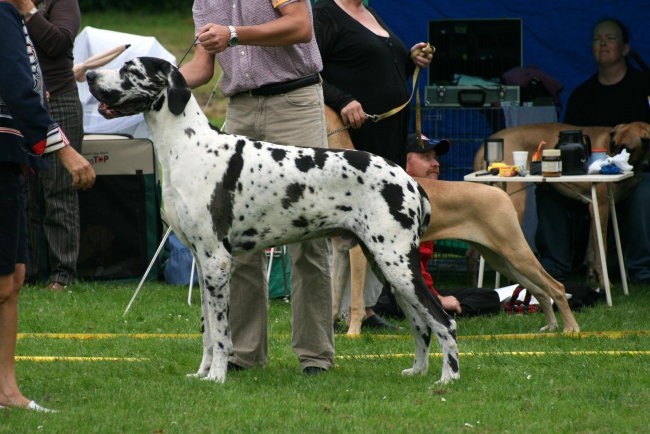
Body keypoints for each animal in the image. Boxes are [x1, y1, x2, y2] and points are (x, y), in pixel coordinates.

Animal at [86, 56, 458, 384]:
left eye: (129, 69)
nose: (89, 75)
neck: (187, 145)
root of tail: (409, 180)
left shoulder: (217, 261)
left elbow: (220, 332)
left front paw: (217, 377)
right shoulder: (202, 262)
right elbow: (207, 330)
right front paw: (202, 373)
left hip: (397, 264)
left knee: (443, 320)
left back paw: (448, 379)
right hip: (388, 268)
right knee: (421, 324)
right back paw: (418, 371)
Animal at [326, 106, 580, 336]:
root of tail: (500, 193)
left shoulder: (357, 253)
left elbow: (355, 300)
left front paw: (353, 333)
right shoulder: (340, 250)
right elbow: (334, 295)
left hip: (515, 250)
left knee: (556, 286)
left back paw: (571, 328)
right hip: (500, 258)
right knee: (540, 291)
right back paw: (551, 326)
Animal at [470, 122, 648, 284]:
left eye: (627, 148)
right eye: (614, 145)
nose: (611, 163)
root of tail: (485, 144)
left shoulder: (596, 209)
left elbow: (592, 248)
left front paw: (592, 279)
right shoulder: (601, 206)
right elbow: (601, 250)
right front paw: (605, 283)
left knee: (472, 253)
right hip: (511, 208)